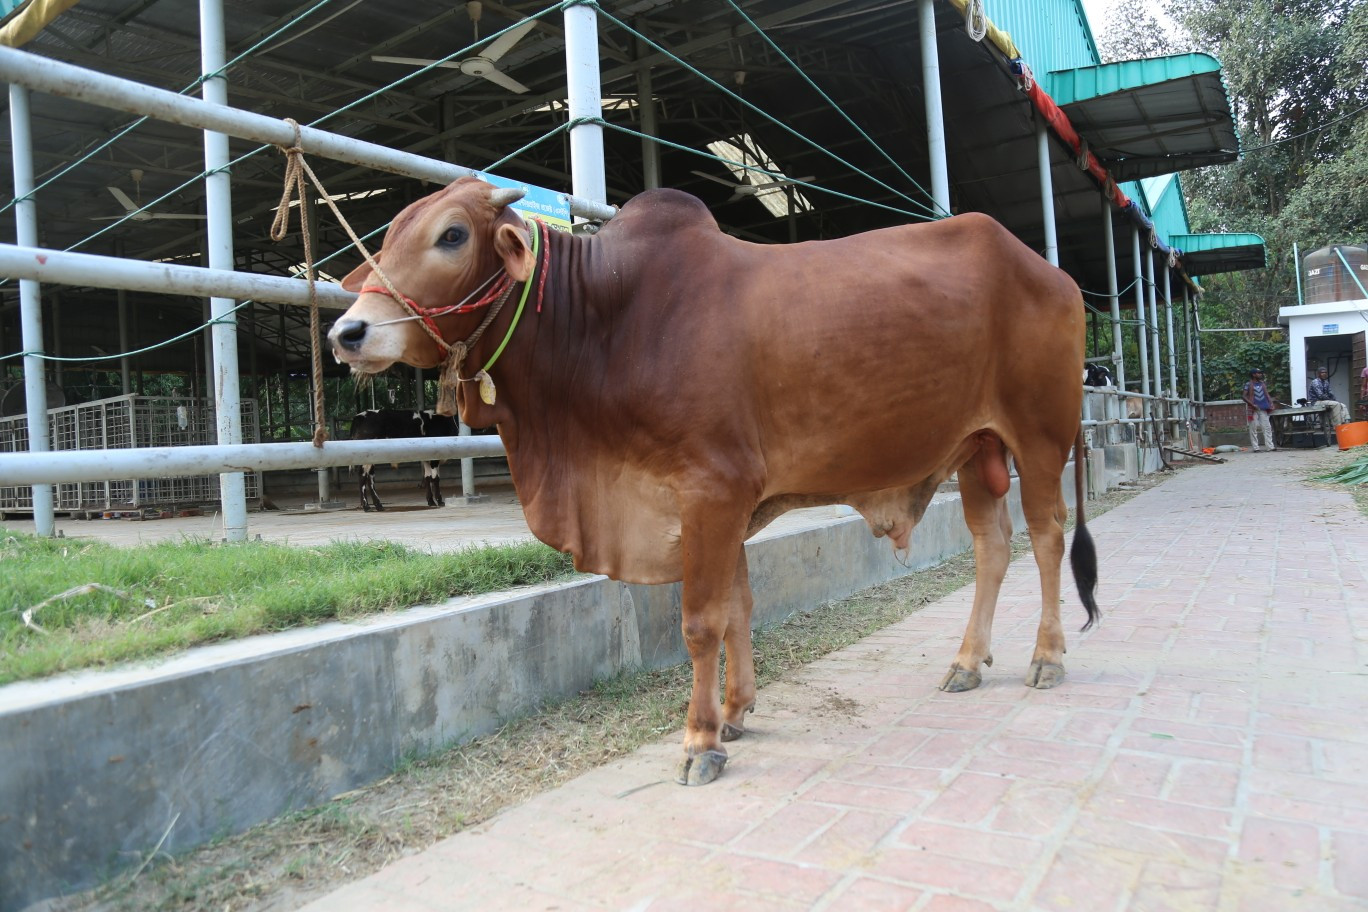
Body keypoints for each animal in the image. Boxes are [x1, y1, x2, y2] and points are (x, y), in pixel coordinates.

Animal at [327, 178, 1099, 786]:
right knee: (992, 546)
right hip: (976, 450)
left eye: (452, 234)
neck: (608, 319)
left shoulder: (713, 490)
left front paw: (699, 741)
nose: (348, 333)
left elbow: (701, 621)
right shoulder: (725, 503)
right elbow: (737, 608)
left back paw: (1047, 655)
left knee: (1047, 537)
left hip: (1038, 438)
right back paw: (968, 661)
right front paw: (735, 712)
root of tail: (1053, 273)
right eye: (388, 236)